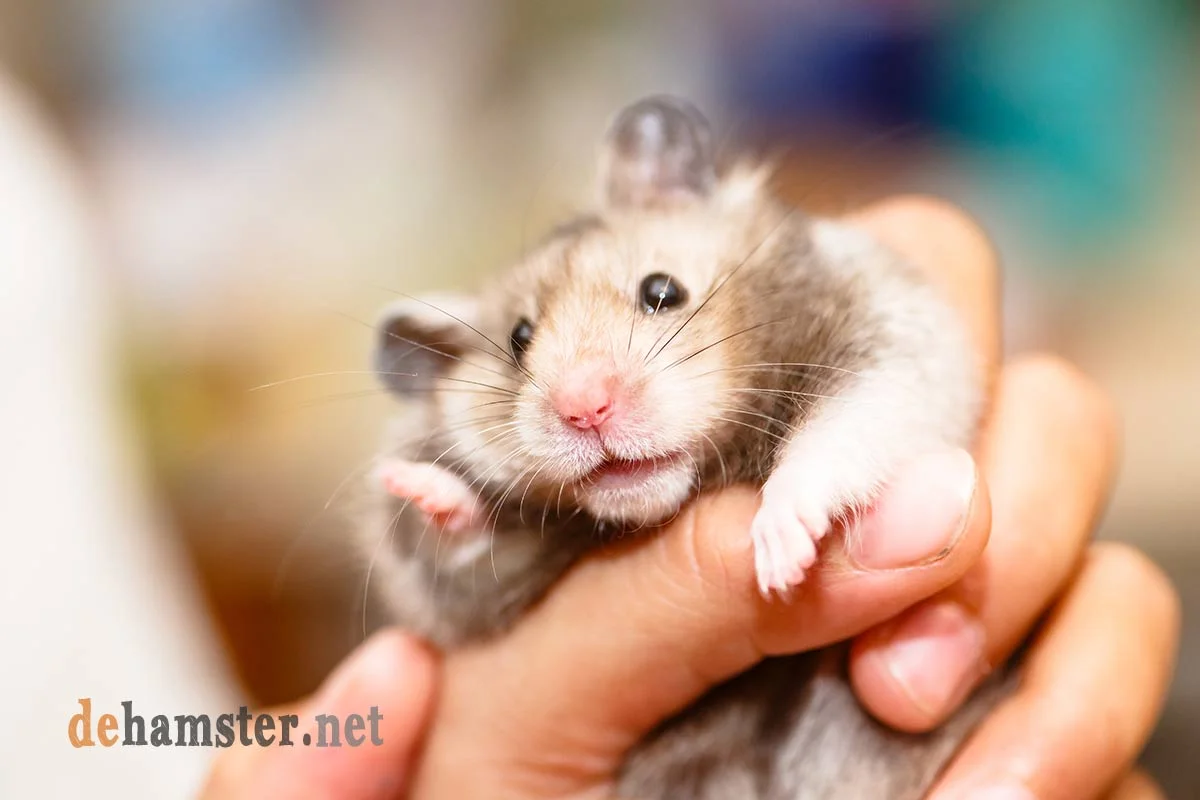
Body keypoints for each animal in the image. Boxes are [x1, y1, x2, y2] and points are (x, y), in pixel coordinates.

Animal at [361, 96, 1009, 799]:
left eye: (662, 291)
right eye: (518, 338)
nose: (585, 406)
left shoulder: (889, 333)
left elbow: (842, 431)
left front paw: (780, 558)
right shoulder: (468, 606)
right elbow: (460, 556)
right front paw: (421, 488)